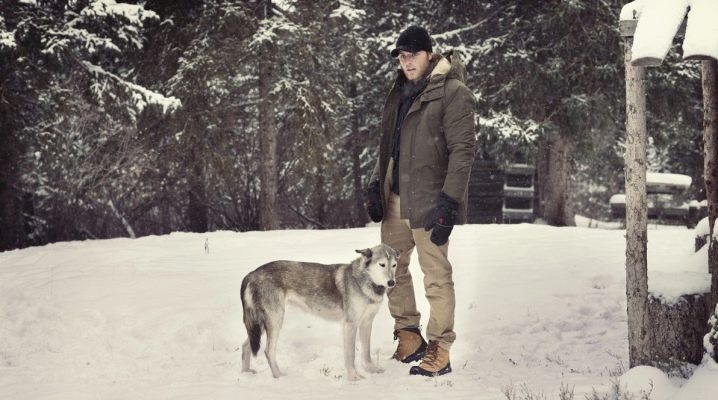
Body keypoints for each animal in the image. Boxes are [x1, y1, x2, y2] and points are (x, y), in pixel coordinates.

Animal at [240, 244, 400, 382]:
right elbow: (350, 355)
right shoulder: (350, 325)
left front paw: (372, 370)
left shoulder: (366, 323)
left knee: (246, 345)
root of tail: (252, 273)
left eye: (394, 265)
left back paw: (246, 373)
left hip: (261, 325)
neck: (366, 281)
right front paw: (353, 377)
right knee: (268, 351)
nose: (392, 283)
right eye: (382, 265)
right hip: (274, 321)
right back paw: (279, 377)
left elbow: (366, 353)